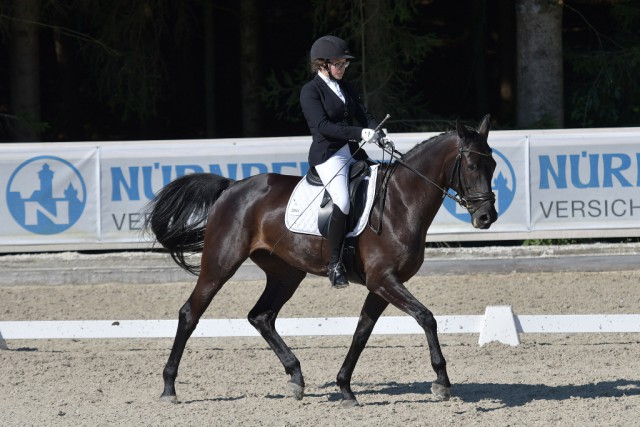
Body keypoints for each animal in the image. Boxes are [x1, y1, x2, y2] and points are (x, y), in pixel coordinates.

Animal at [146, 113, 500, 408]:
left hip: (286, 273)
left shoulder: (382, 285)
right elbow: (426, 318)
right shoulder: (384, 280)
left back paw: (296, 378)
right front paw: (442, 382)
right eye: (471, 166)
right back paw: (169, 388)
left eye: (494, 165)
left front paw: (345, 388)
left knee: (261, 316)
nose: (486, 217)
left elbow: (361, 332)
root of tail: (231, 187)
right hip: (220, 264)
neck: (401, 202)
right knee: (190, 313)